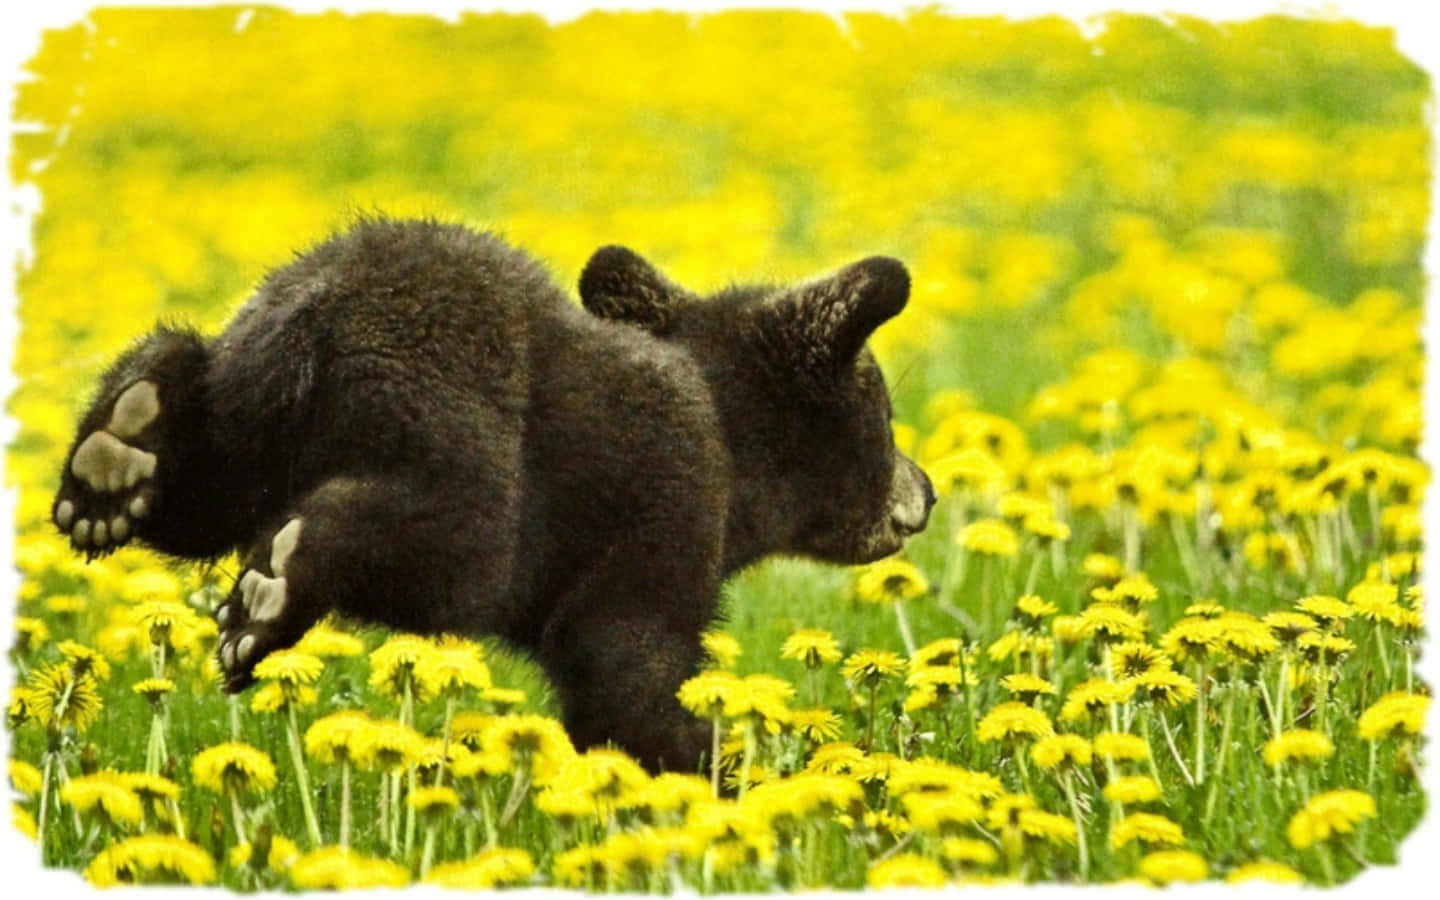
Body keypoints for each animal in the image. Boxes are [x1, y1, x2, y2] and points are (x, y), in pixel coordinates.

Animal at [51, 217, 935, 772]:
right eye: (887, 418)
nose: (924, 493)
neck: (737, 460)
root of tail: (318, 312)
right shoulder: (670, 507)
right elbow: (622, 662)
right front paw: (725, 763)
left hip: (249, 412)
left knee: (201, 487)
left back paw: (115, 456)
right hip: (456, 419)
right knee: (450, 536)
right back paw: (270, 590)